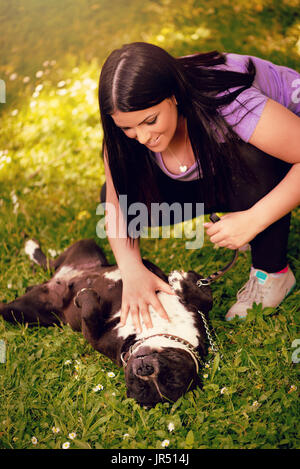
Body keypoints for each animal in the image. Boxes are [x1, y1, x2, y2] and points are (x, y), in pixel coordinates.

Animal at [0, 238, 217, 406]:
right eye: (169, 374)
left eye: (140, 387)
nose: (145, 370)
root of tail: (56, 281)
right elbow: (206, 298)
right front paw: (181, 280)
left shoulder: (95, 335)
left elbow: (89, 312)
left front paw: (85, 296)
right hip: (86, 245)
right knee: (51, 263)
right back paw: (32, 249)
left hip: (20, 311)